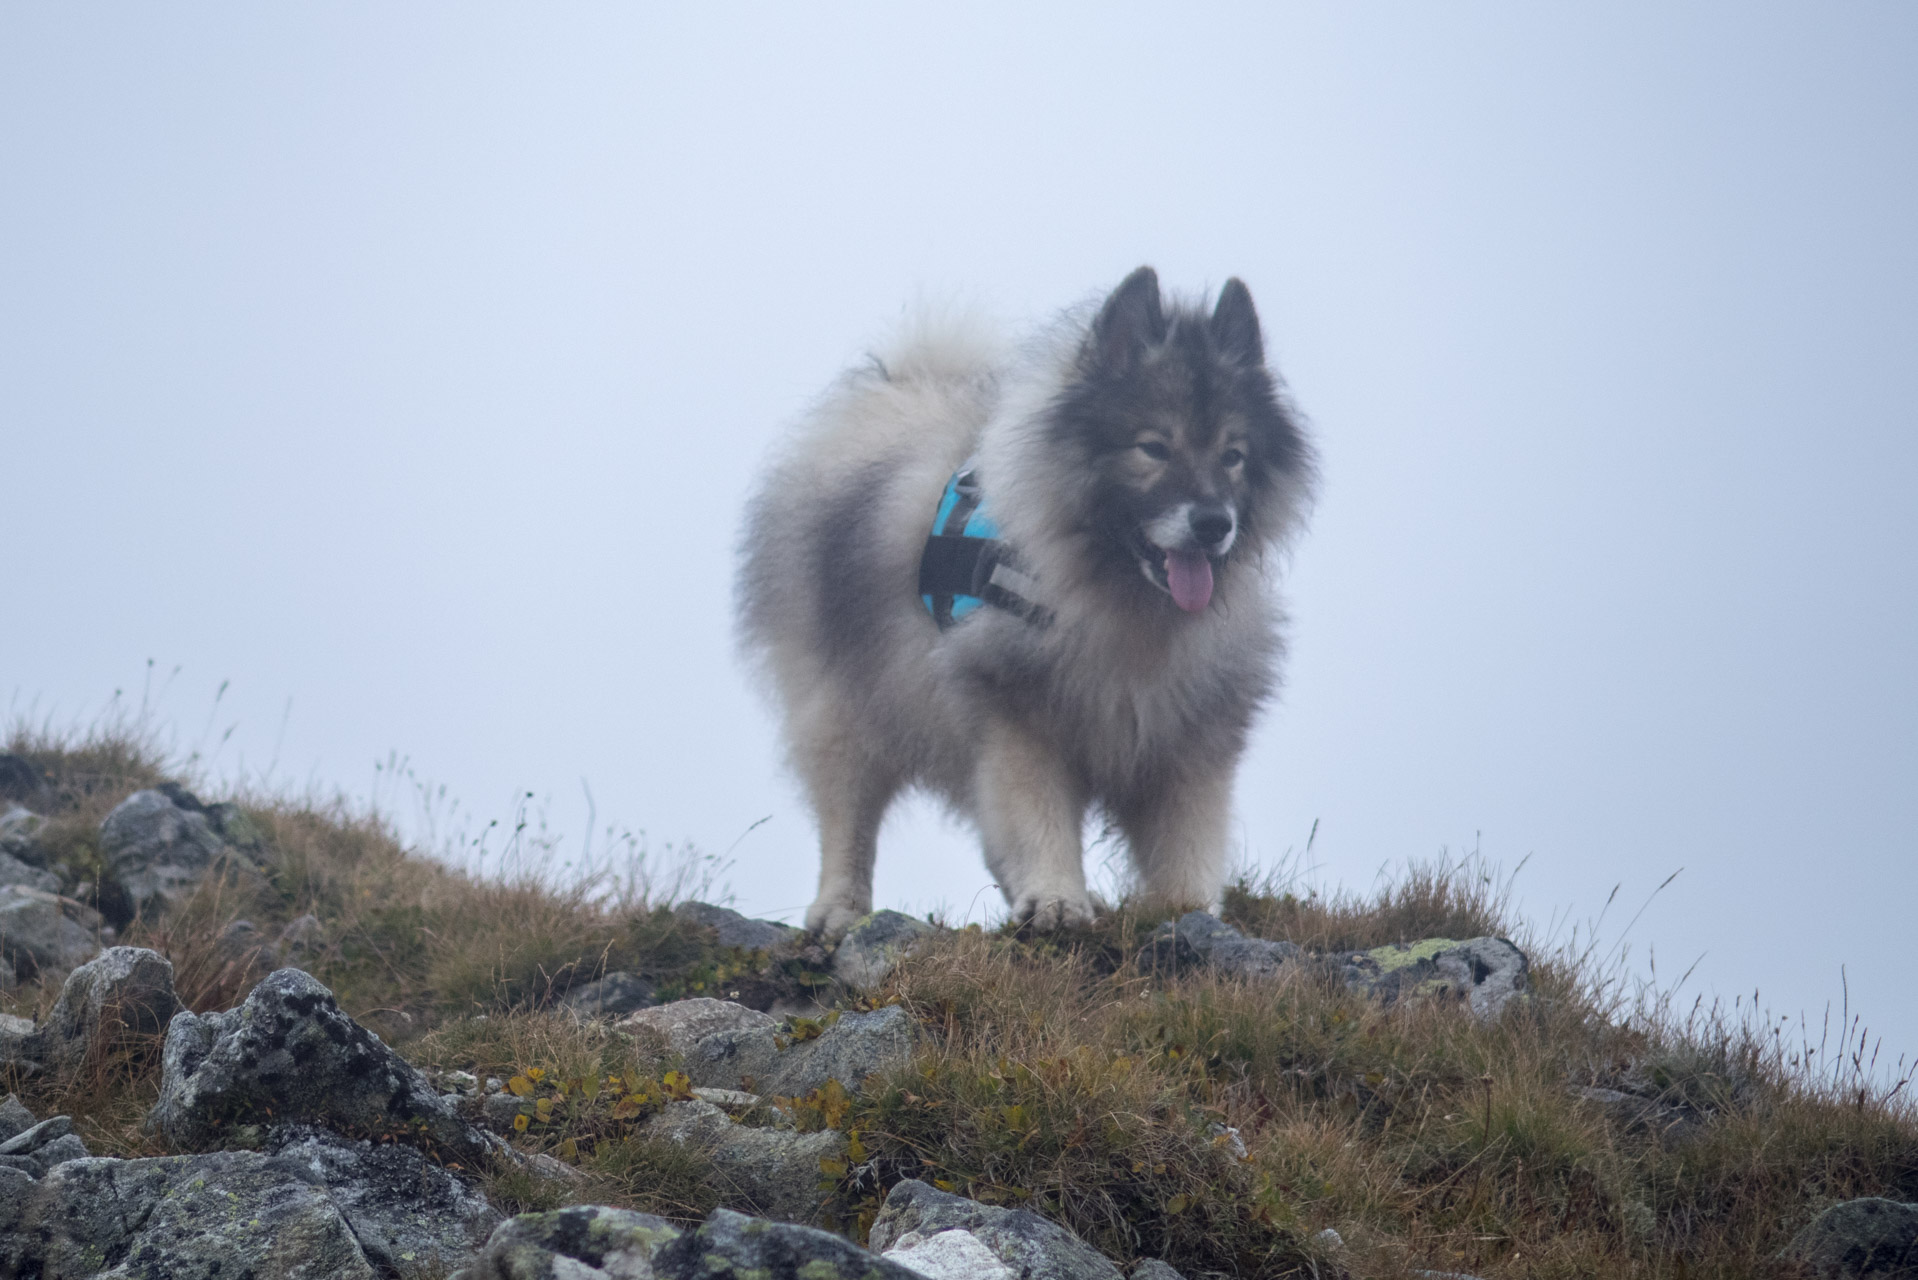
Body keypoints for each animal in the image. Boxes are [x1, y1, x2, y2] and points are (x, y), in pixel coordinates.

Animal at [740, 268, 1311, 932]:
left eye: (1233, 455)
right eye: (1153, 447)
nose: (1214, 523)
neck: (1119, 607)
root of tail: (898, 387)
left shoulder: (1187, 741)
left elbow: (1188, 846)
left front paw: (1189, 914)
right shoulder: (1020, 718)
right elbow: (1038, 818)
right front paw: (1057, 900)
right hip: (848, 707)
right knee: (847, 817)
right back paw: (841, 909)